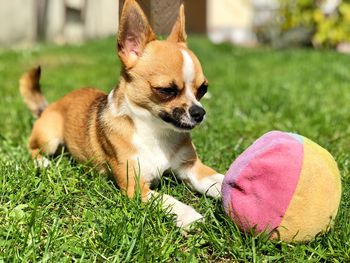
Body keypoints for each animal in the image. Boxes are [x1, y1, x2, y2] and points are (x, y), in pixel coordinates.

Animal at [19, 0, 224, 229]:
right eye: (166, 90)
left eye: (203, 89)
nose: (199, 112)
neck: (156, 132)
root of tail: (48, 106)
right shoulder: (136, 188)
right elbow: (169, 200)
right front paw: (191, 217)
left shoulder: (192, 169)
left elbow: (220, 180)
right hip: (50, 138)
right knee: (33, 149)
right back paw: (43, 163)